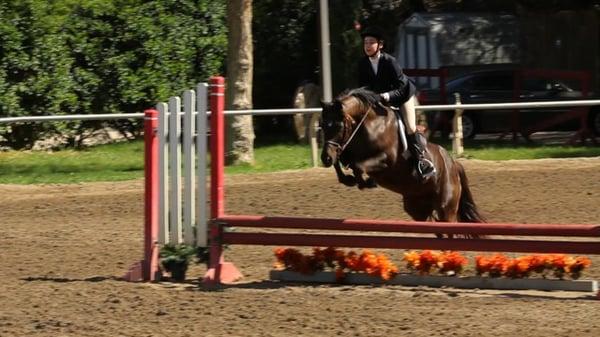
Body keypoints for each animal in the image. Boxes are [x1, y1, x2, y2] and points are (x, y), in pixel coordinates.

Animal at [322, 88, 486, 227]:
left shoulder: (386, 159)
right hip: (417, 208)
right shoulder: (345, 150)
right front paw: (349, 179)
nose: (325, 158)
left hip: (446, 208)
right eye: (322, 126)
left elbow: (358, 166)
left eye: (338, 126)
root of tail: (453, 164)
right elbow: (342, 164)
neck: (369, 125)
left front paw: (367, 182)